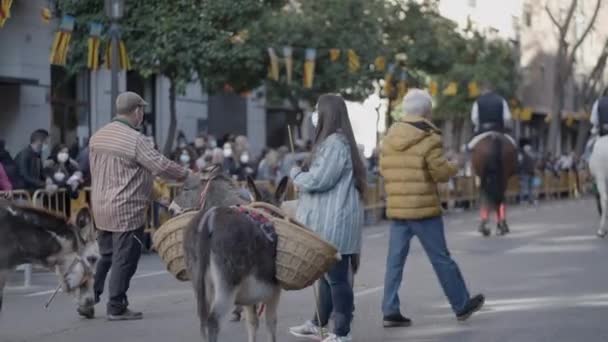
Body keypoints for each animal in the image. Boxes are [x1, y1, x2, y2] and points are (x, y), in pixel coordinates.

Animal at [167, 170, 288, 342]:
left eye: (185, 189)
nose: (170, 209)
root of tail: (209, 221)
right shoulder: (273, 291)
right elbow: (268, 324)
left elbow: (253, 323)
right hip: (226, 285)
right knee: (213, 321)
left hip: (202, 283)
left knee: (205, 319)